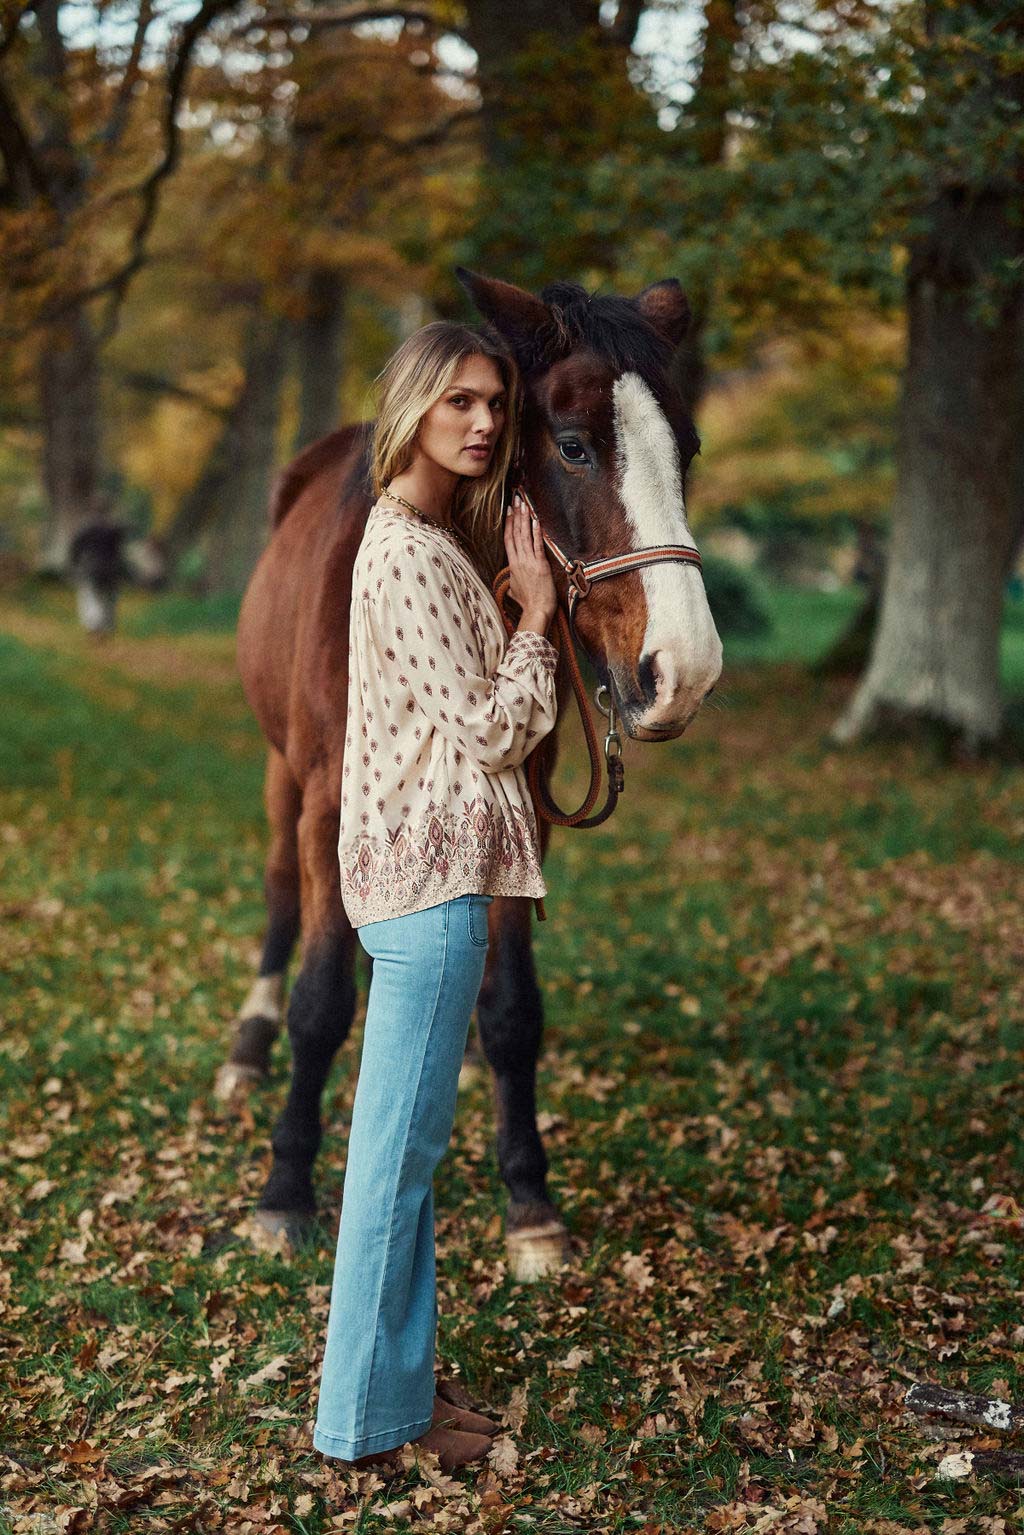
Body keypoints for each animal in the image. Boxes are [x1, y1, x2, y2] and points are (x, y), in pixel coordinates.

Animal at [221, 273, 724, 1283]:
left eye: (686, 449)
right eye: (572, 445)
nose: (684, 671)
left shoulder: (523, 802)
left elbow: (512, 1009)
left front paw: (530, 1201)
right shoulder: (332, 801)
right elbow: (320, 1002)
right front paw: (283, 1191)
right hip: (284, 775)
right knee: (283, 893)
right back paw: (250, 1043)